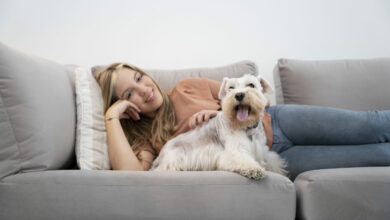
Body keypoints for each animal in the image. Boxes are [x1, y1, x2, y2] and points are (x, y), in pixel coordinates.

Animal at [151, 75, 288, 180]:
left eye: (251, 85)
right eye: (231, 88)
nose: (239, 95)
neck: (247, 128)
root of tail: (160, 156)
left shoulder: (262, 150)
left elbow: (271, 159)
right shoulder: (235, 150)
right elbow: (242, 159)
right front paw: (254, 169)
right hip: (173, 159)